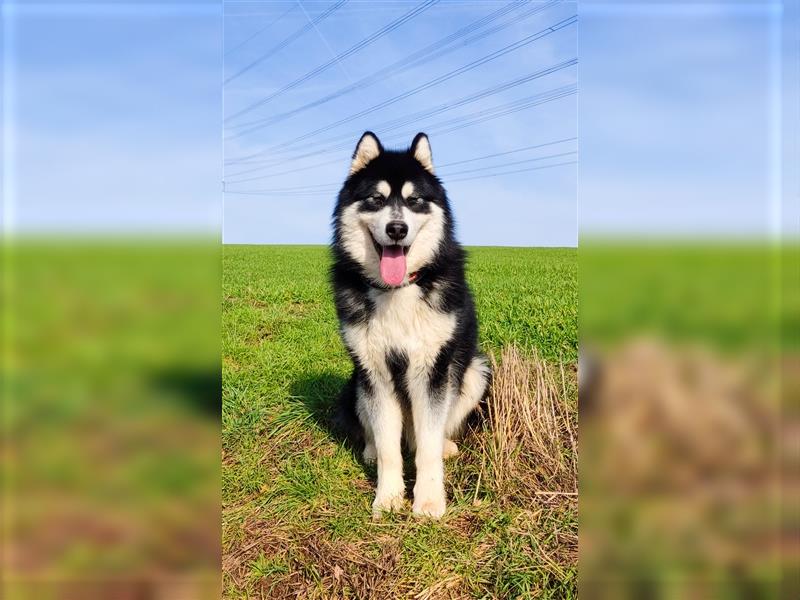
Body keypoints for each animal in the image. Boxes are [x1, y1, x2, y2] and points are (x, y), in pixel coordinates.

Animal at [328, 132, 490, 520]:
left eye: (414, 200)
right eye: (376, 199)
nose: (397, 229)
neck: (398, 289)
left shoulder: (431, 371)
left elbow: (426, 448)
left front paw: (429, 501)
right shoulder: (375, 371)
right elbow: (390, 449)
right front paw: (387, 498)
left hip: (475, 372)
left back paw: (446, 445)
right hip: (356, 384)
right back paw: (370, 450)